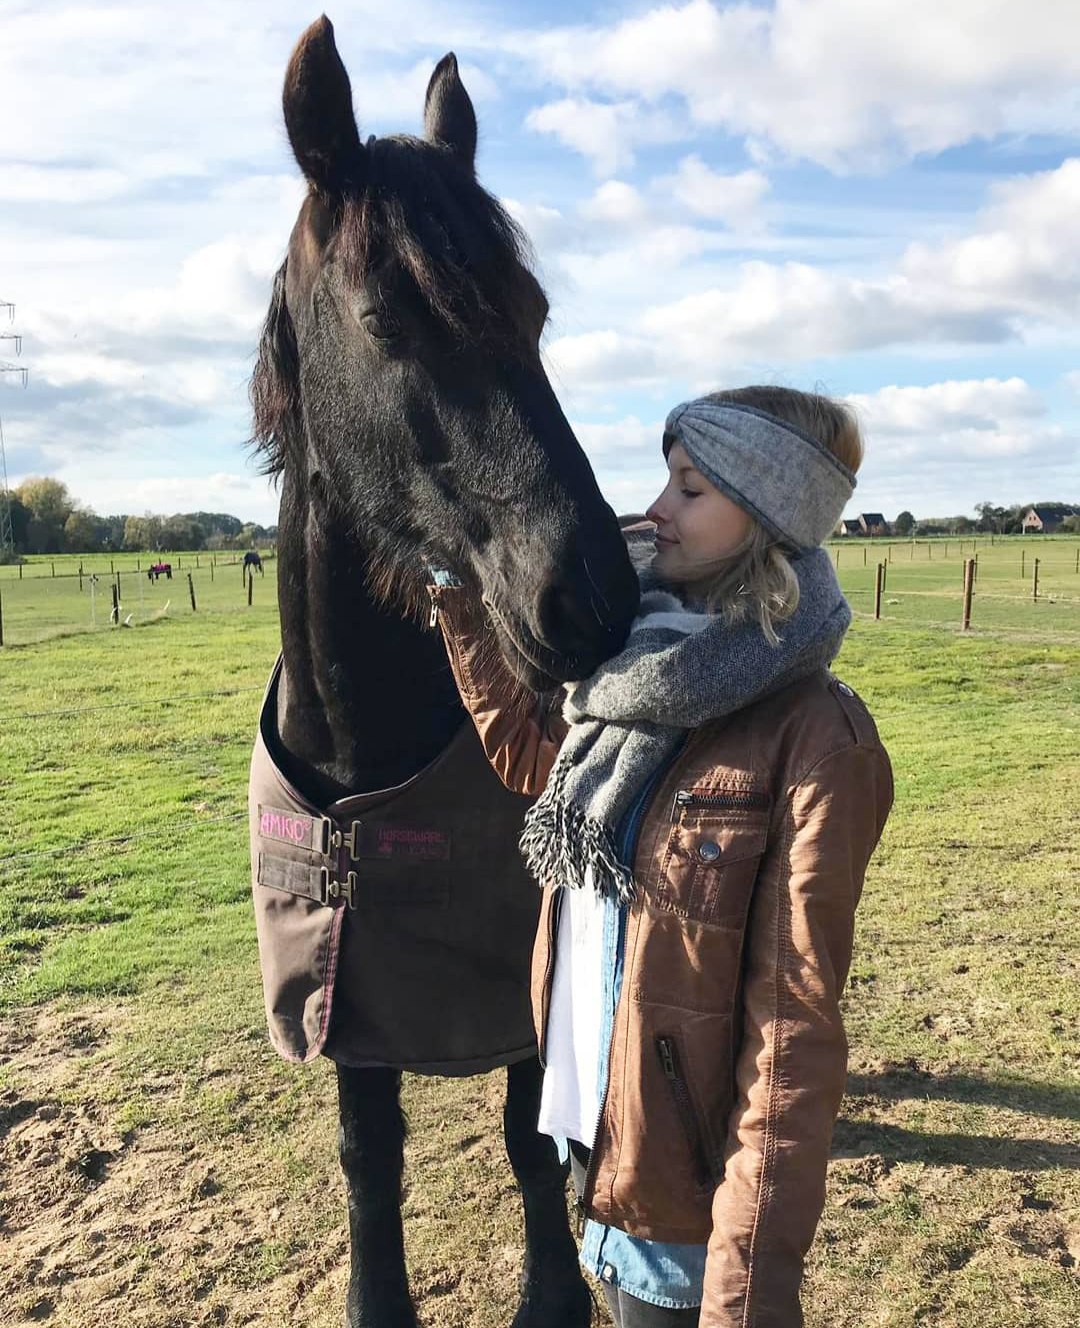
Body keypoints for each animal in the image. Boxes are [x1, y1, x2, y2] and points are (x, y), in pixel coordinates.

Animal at [248, 18, 639, 1328]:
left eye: (536, 309)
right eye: (384, 318)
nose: (591, 598)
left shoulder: (519, 955)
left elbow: (528, 1132)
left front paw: (554, 1295)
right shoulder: (344, 979)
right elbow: (370, 1152)